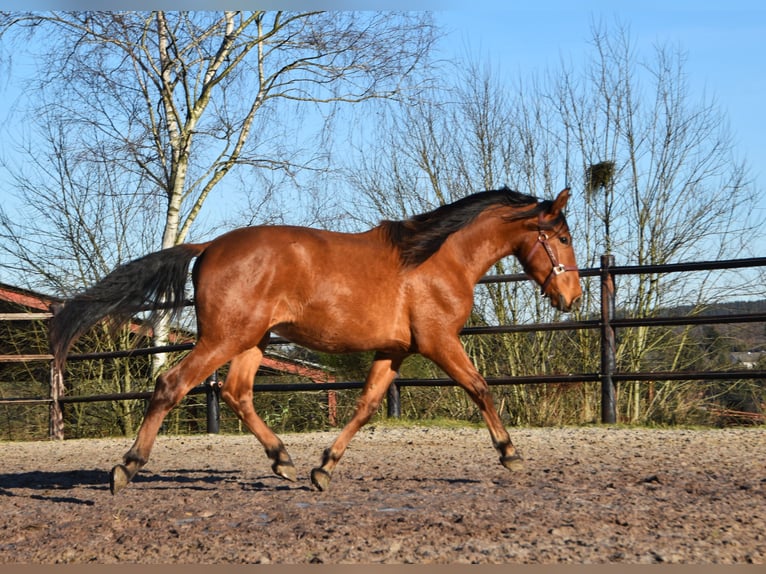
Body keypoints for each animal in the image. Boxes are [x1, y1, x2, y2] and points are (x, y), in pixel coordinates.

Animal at [49, 188, 584, 496]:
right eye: (561, 237)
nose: (572, 296)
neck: (435, 258)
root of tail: (209, 246)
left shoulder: (394, 351)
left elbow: (366, 406)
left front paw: (323, 468)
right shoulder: (439, 342)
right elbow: (480, 388)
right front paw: (510, 454)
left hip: (253, 341)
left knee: (236, 393)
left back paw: (283, 460)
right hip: (225, 338)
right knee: (171, 385)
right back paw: (125, 468)